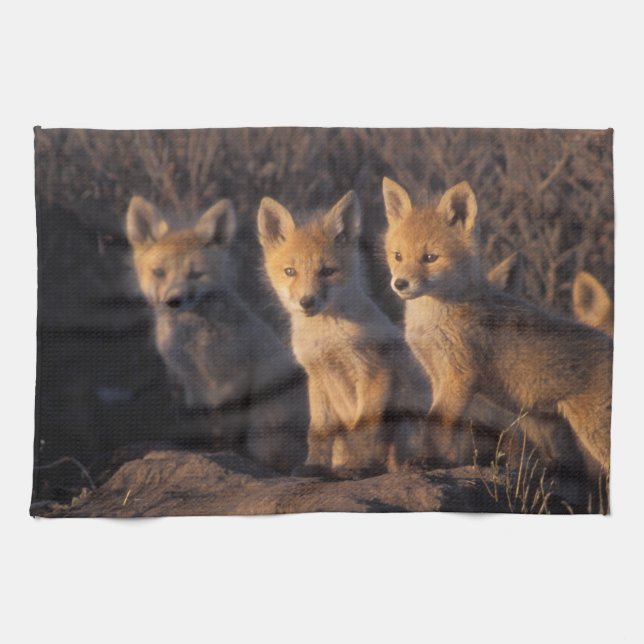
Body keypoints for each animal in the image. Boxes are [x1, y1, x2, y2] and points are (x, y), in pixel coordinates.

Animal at [126, 195, 307, 473]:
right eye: (159, 272)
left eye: (195, 274)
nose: (173, 301)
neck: (194, 347)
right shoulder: (192, 385)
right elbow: (202, 426)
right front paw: (205, 454)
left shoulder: (231, 382)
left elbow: (226, 430)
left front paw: (225, 454)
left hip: (265, 428)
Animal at [258, 191, 433, 478]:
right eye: (290, 272)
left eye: (327, 271)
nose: (306, 301)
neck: (328, 341)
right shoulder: (316, 377)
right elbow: (318, 432)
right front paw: (314, 466)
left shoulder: (373, 371)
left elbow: (362, 430)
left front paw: (357, 468)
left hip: (407, 415)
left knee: (397, 460)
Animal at [382, 177, 613, 473]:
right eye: (398, 255)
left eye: (430, 258)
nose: (400, 284)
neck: (432, 321)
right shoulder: (437, 375)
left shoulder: (459, 375)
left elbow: (437, 426)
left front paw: (427, 460)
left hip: (593, 432)